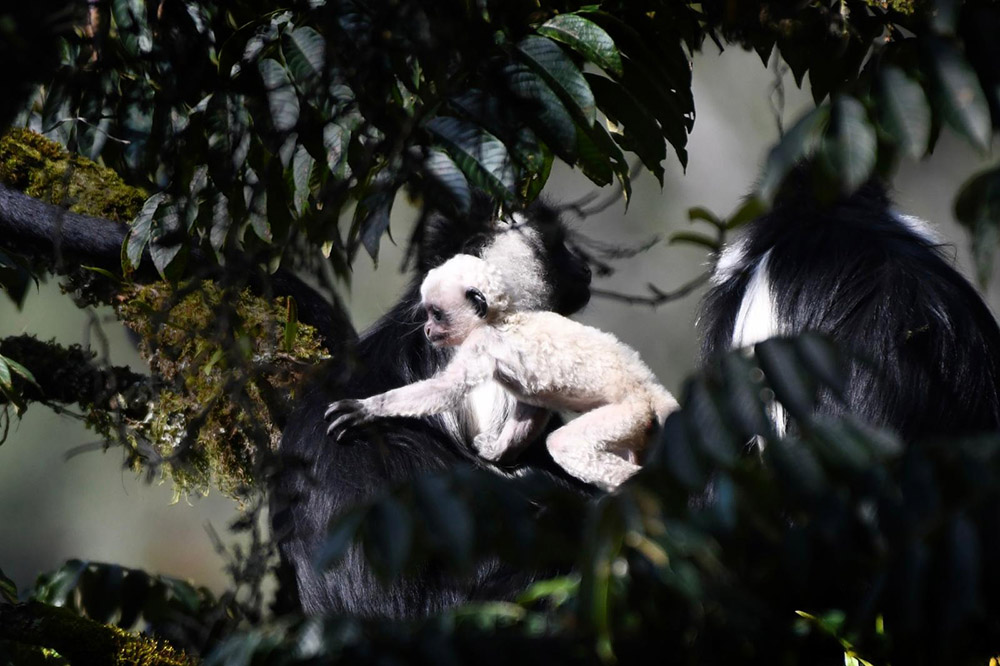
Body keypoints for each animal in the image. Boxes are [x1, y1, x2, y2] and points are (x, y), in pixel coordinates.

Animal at [325, 253, 679, 491]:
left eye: (436, 315)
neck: (502, 319)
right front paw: (495, 453)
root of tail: (647, 386)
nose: (426, 329)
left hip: (628, 412)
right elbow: (532, 408)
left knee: (565, 444)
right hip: (640, 425)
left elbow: (447, 390)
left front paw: (368, 410)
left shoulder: (481, 342)